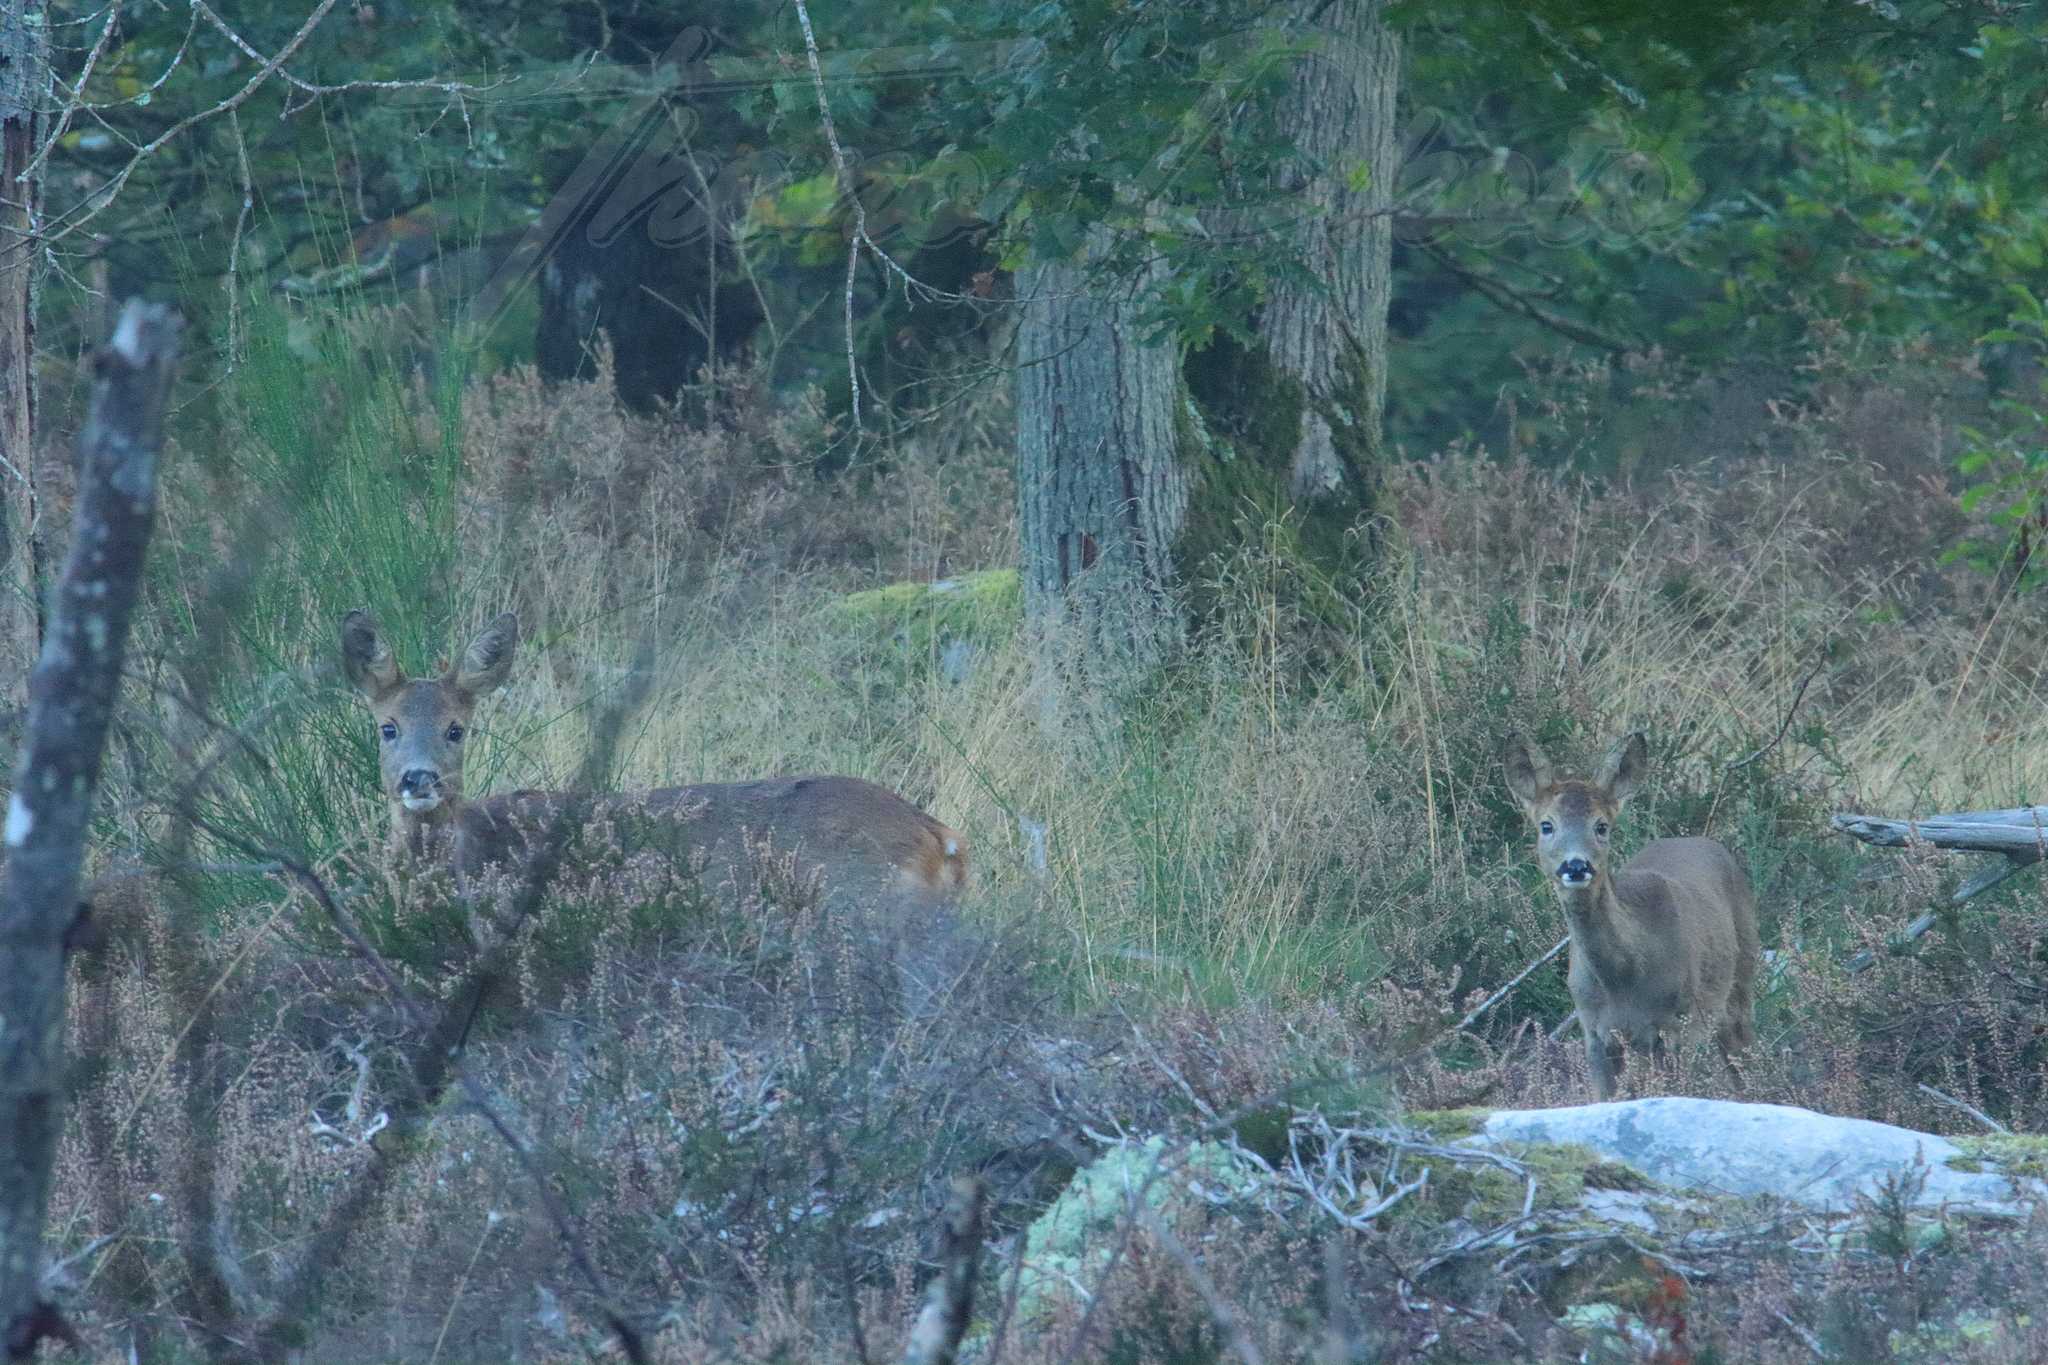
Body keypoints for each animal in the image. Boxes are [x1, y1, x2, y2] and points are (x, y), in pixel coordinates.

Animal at [1507, 732, 1761, 1105]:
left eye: (1601, 826)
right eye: (1546, 825)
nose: (1576, 866)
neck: (1624, 977)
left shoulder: (1677, 1024)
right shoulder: (1594, 1032)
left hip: (1739, 983)